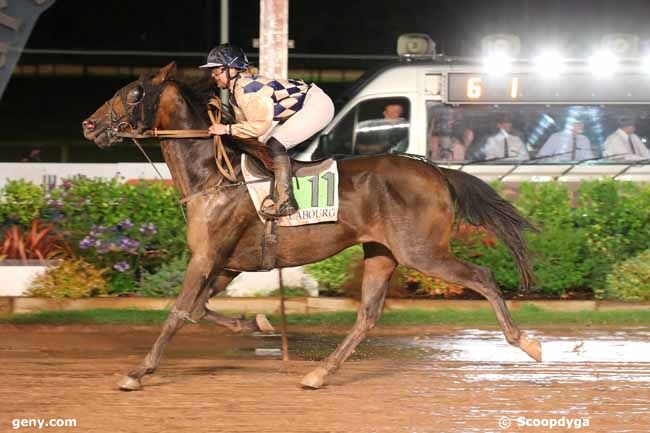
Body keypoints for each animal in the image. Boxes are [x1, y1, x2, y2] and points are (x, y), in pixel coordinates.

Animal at [81, 62, 540, 390]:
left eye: (133, 93)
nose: (89, 125)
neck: (212, 175)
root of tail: (437, 171)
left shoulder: (208, 256)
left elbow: (177, 312)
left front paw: (137, 372)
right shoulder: (227, 262)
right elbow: (198, 309)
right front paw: (257, 324)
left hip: (422, 251)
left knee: (482, 277)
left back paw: (527, 342)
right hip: (382, 253)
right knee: (367, 316)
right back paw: (319, 373)